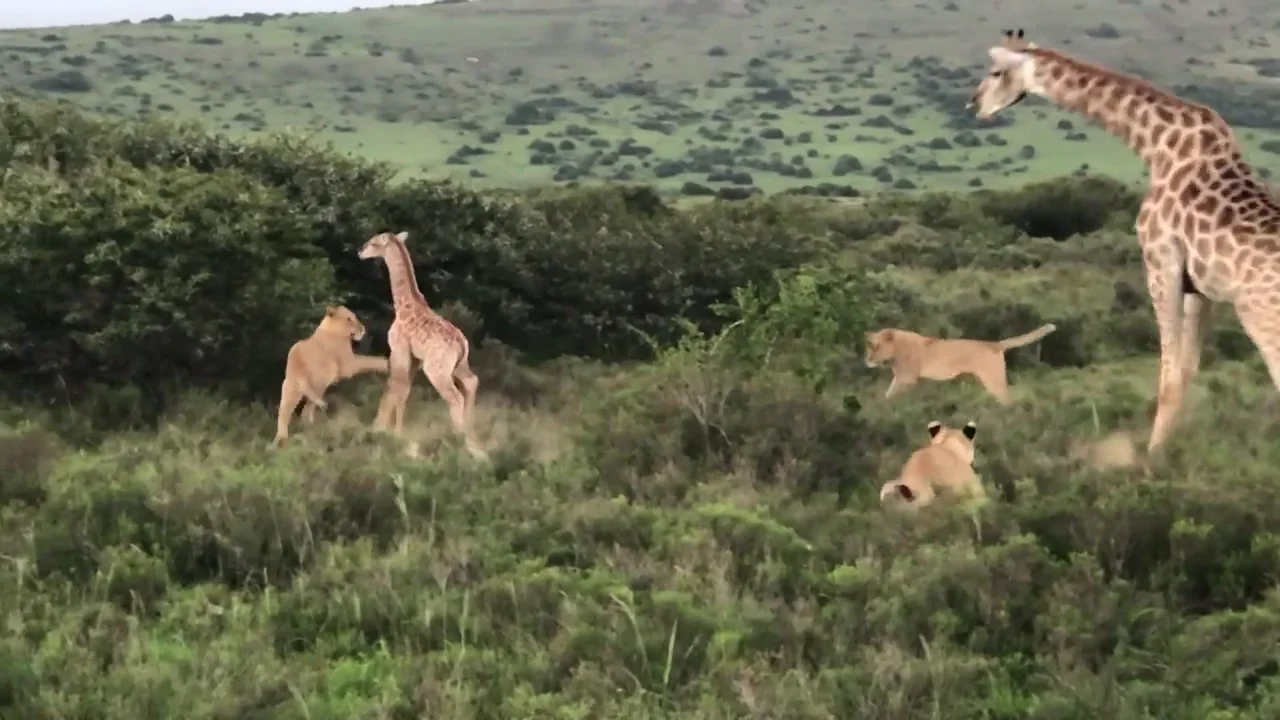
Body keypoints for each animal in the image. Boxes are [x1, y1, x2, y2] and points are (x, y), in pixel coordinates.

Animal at [357, 231, 486, 459]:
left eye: (374, 243)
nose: (360, 251)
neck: (403, 305)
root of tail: (461, 344)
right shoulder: (415, 358)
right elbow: (404, 391)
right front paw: (390, 432)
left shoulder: (398, 349)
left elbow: (395, 387)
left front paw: (386, 432)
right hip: (459, 364)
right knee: (472, 382)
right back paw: (474, 444)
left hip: (435, 369)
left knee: (455, 397)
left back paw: (460, 443)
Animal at [966, 28, 1280, 456]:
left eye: (996, 71)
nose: (974, 105)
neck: (1154, 144)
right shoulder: (1199, 288)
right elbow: (1187, 370)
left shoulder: (1161, 264)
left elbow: (1168, 376)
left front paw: (1153, 459)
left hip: (1260, 315)